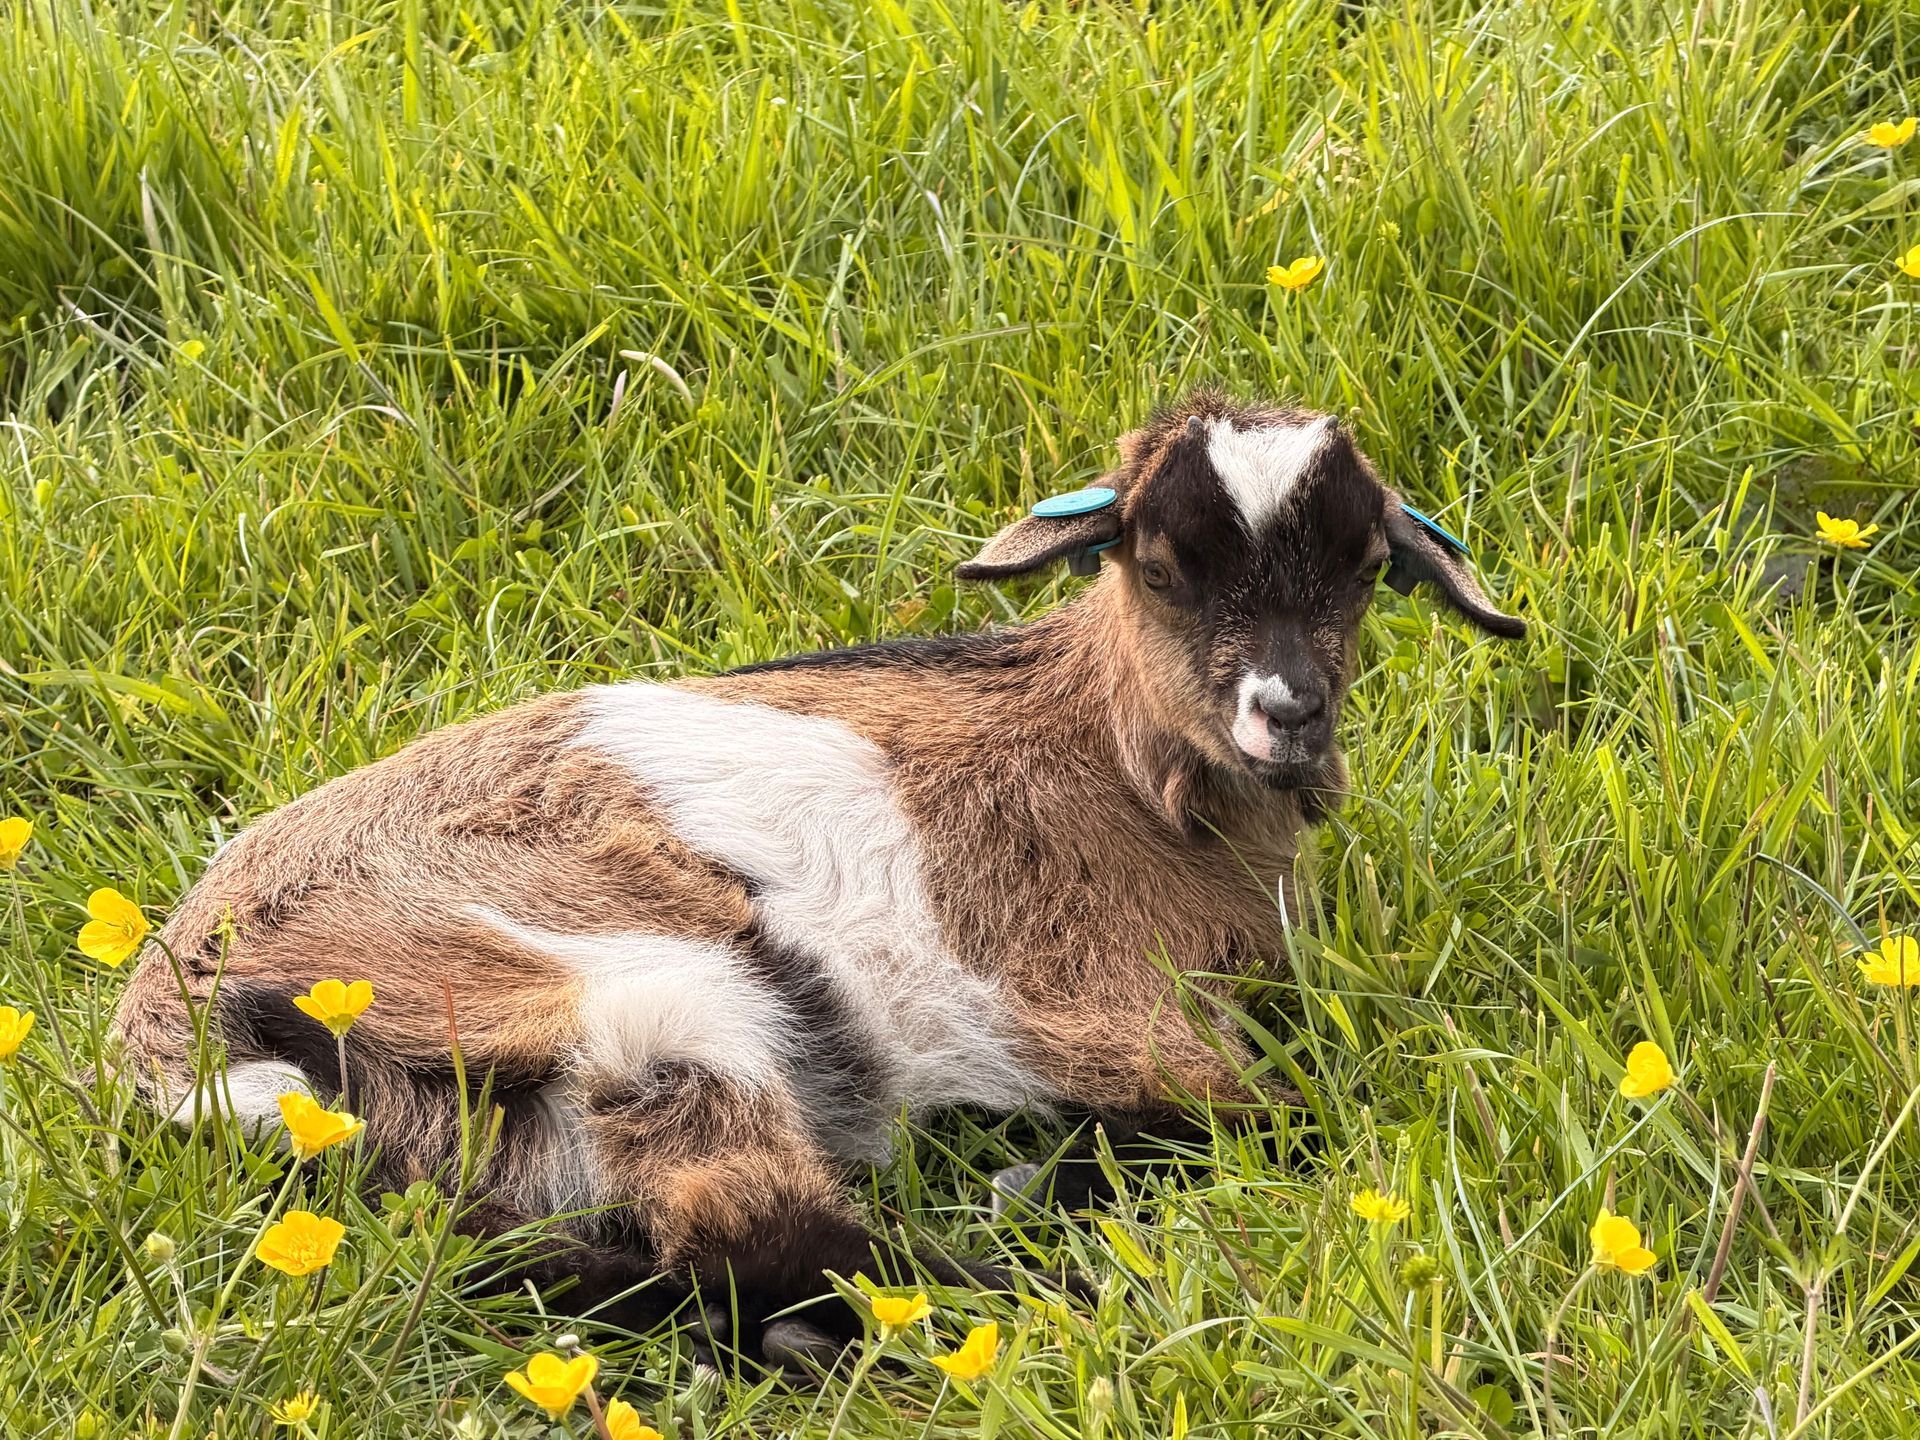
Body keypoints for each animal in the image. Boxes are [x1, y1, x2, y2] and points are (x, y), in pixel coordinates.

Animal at [112, 393, 1524, 1365]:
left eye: (1363, 572)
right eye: (1165, 567)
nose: (1288, 711)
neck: (1110, 760)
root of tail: (177, 1029)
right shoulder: (1090, 1003)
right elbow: (1277, 1115)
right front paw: (1044, 1182)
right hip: (624, 990)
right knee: (747, 1221)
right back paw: (998, 1290)